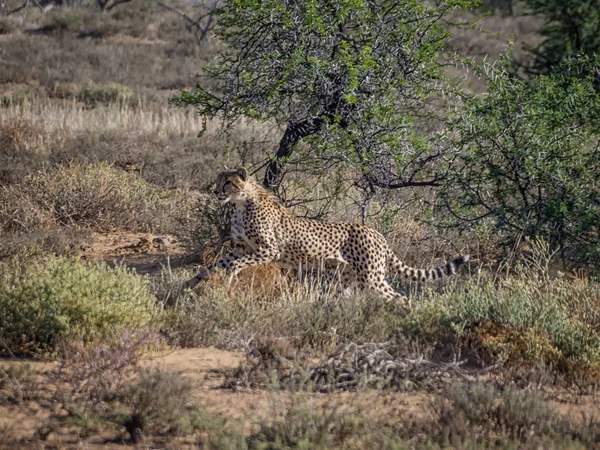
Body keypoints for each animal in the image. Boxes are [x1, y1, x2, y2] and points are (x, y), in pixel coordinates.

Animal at [183, 168, 468, 302]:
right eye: (218, 180)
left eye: (227, 183)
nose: (215, 191)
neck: (243, 203)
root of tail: (375, 231)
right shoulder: (242, 248)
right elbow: (215, 263)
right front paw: (190, 283)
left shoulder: (268, 251)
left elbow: (235, 264)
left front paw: (228, 280)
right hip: (345, 278)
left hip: (371, 277)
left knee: (400, 297)